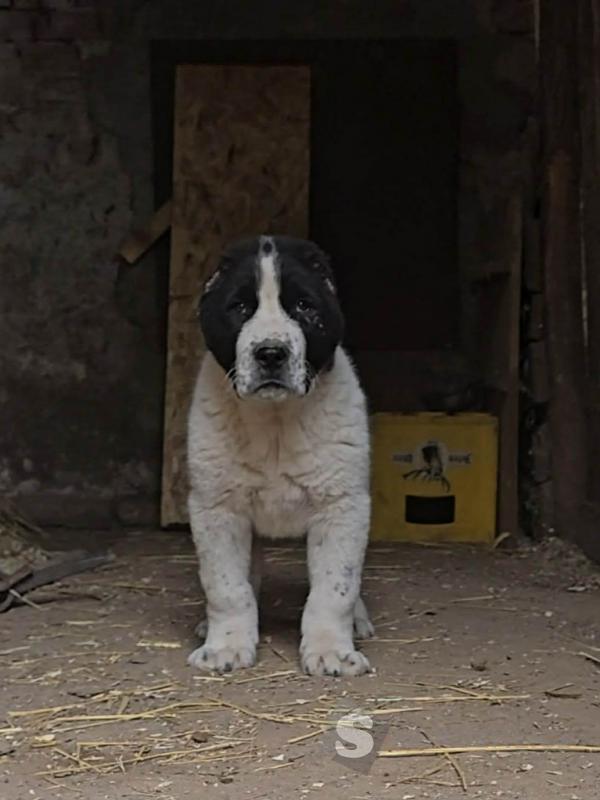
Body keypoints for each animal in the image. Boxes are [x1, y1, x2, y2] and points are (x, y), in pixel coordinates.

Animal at [186, 235, 373, 676]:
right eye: (239, 308)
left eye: (304, 306)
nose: (271, 353)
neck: (274, 421)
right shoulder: (217, 509)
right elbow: (226, 586)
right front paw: (226, 645)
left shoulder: (342, 507)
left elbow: (335, 588)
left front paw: (330, 650)